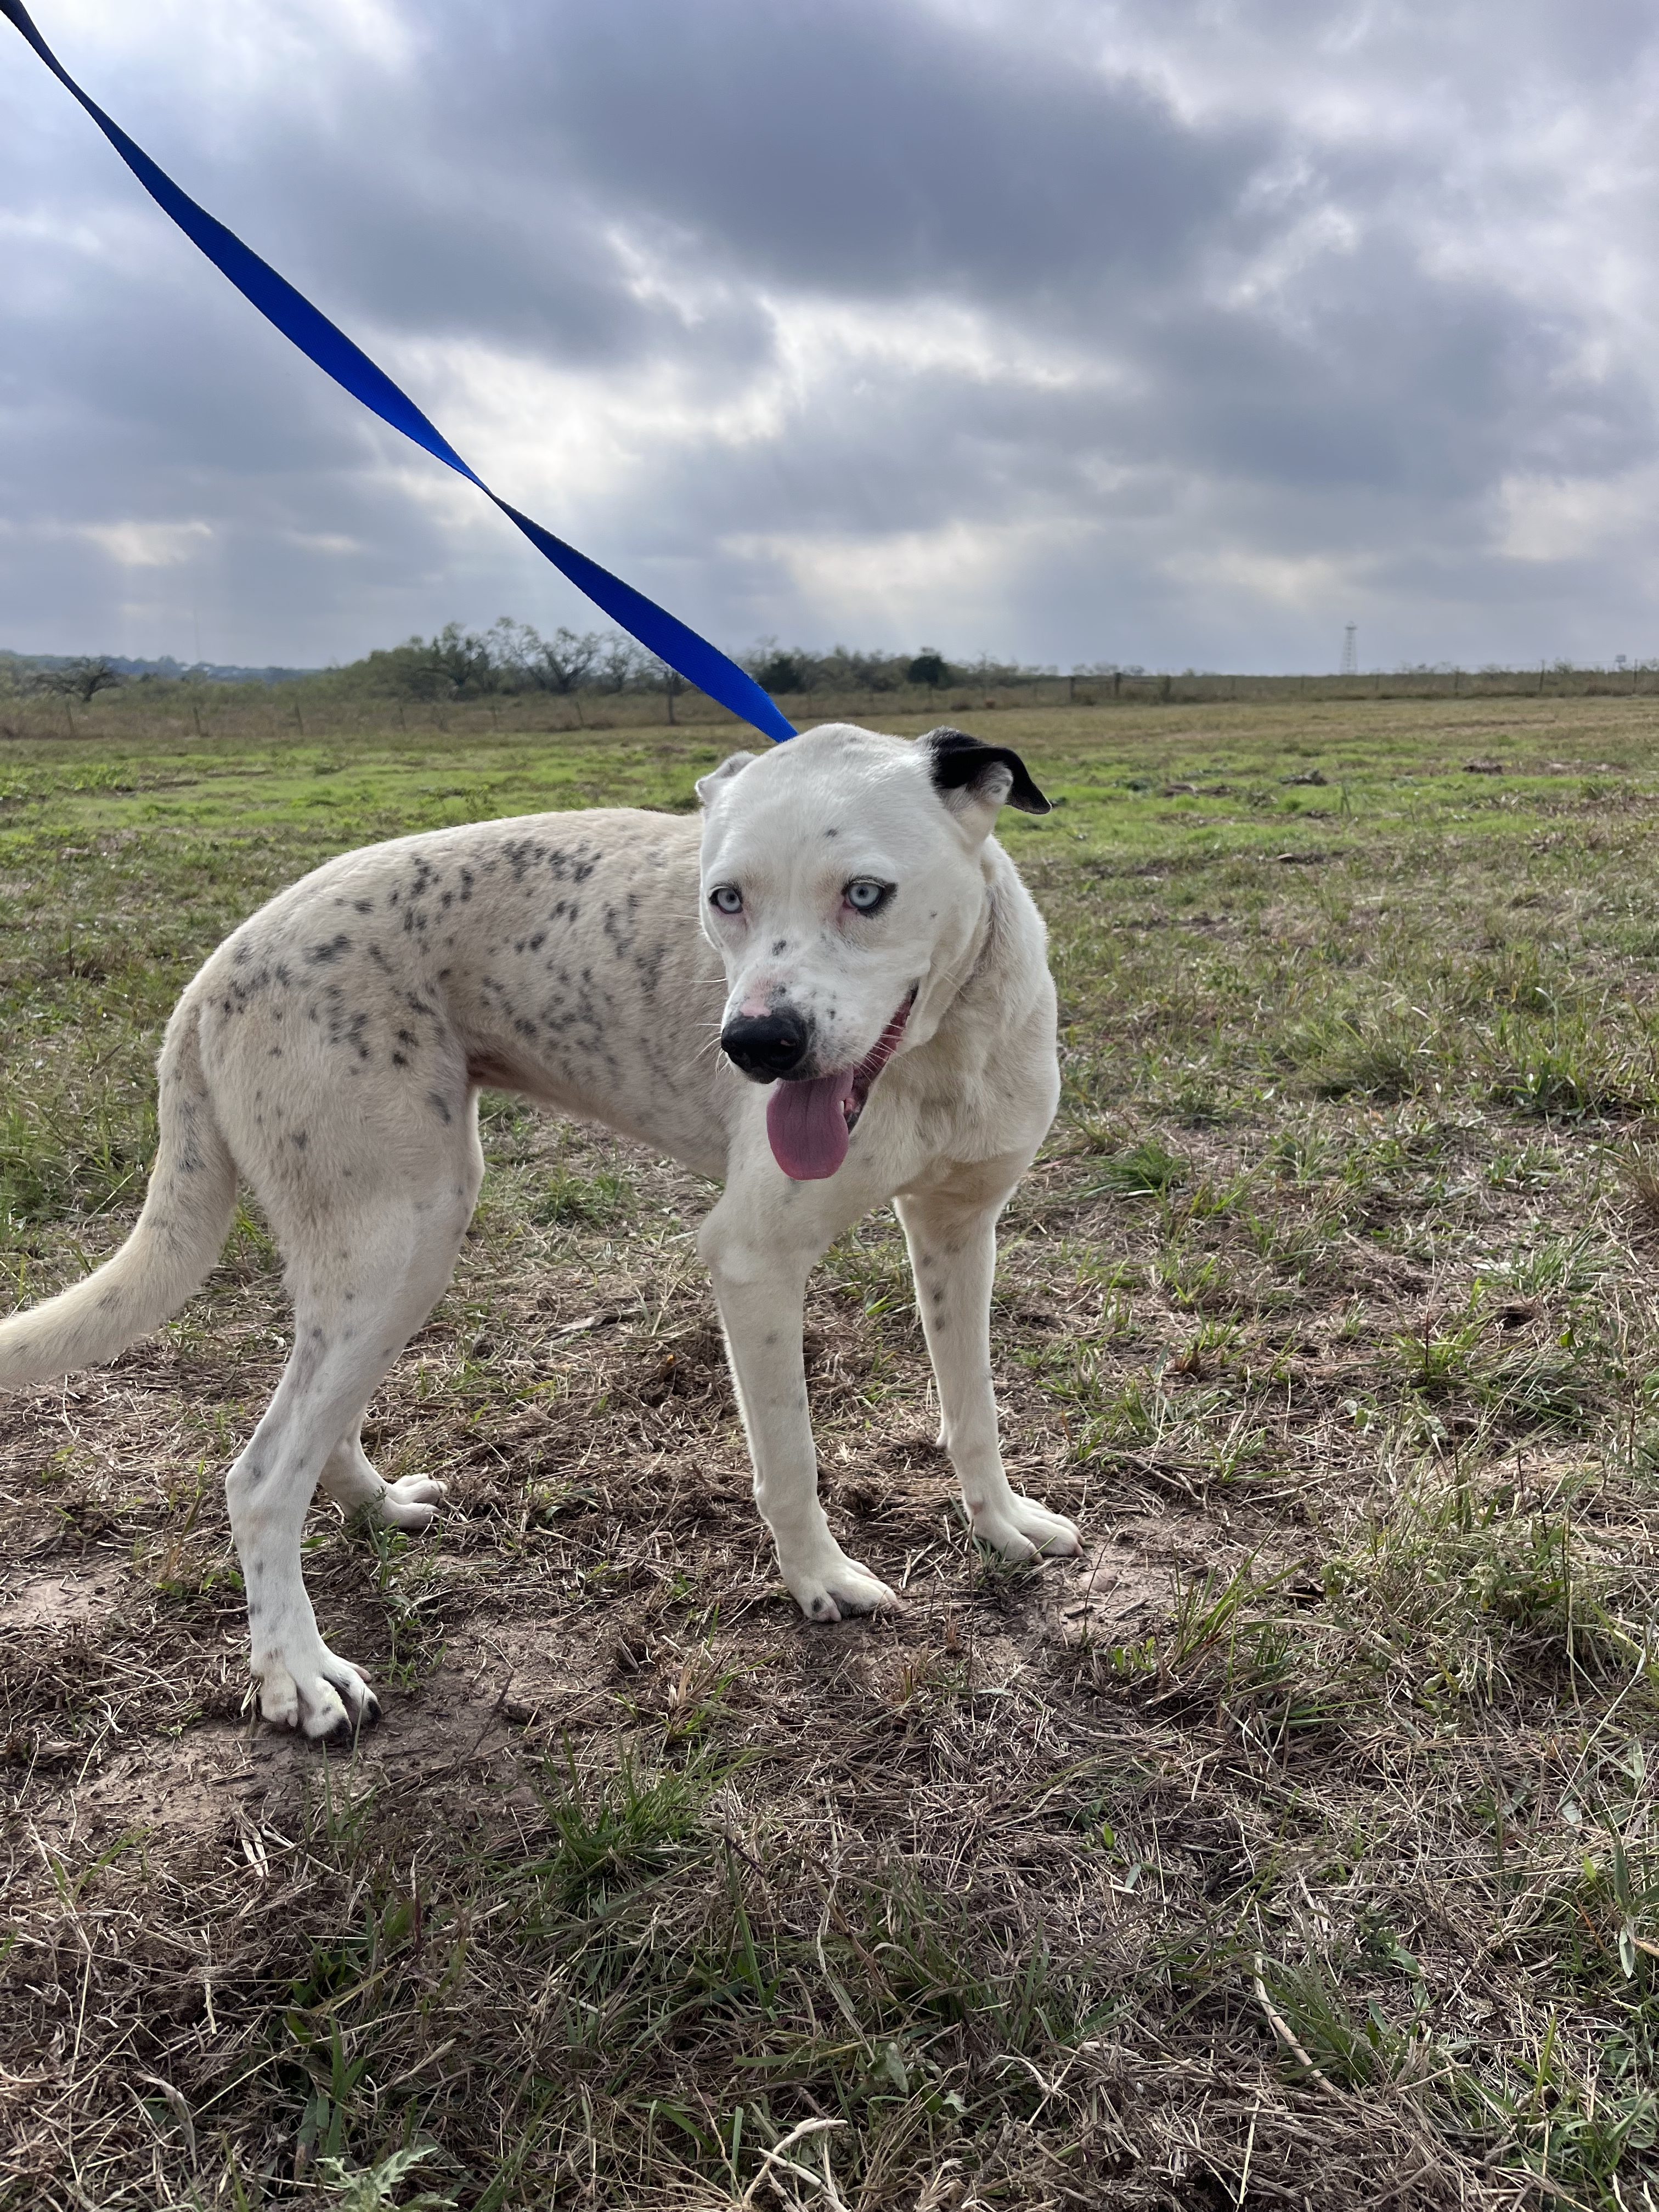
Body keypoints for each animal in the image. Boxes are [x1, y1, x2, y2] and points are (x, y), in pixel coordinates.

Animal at [0, 721, 1079, 1725]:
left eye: (865, 893)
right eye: (725, 898)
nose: (755, 1045)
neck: (940, 1051)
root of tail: (214, 971)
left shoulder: (959, 1230)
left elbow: (973, 1410)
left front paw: (1000, 1526)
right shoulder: (754, 1260)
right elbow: (788, 1458)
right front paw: (820, 1581)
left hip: (373, 1259)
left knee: (312, 1422)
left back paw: (372, 1507)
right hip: (406, 1237)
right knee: (262, 1477)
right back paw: (296, 1673)